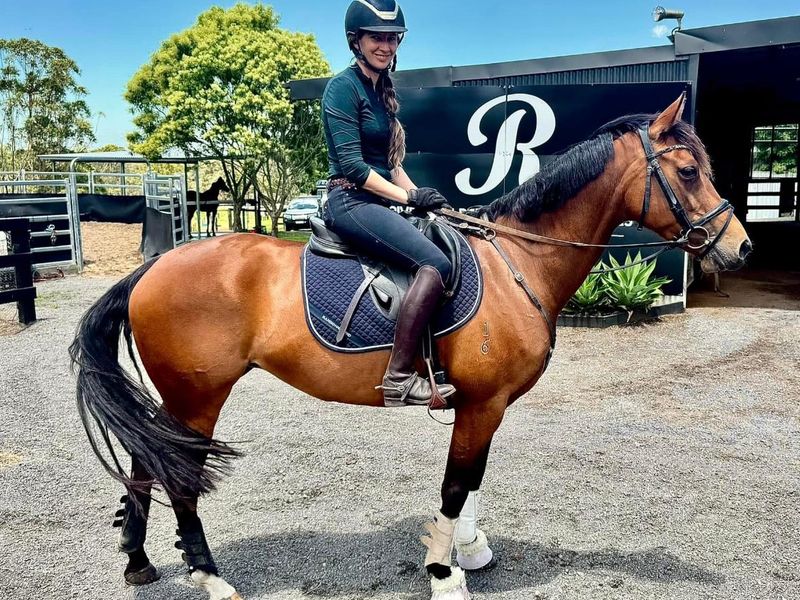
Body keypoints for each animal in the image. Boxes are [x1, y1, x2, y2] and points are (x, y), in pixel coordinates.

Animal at [70, 95, 751, 600]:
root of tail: (150, 270)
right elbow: (455, 484)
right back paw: (210, 578)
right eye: (688, 172)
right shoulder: (483, 402)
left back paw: (138, 560)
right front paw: (445, 574)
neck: (518, 261)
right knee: (179, 477)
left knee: (146, 462)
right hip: (199, 395)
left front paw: (469, 551)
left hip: (180, 399)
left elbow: (472, 479)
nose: (740, 248)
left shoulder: (484, 404)